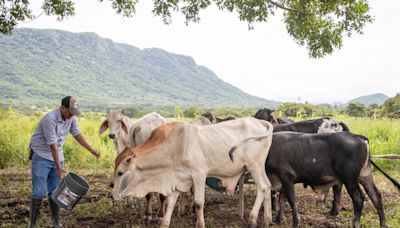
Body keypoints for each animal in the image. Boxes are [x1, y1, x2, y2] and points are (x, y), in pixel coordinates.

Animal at [112, 117, 276, 228]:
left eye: (120, 172)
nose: (112, 191)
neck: (175, 147)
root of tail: (260, 121)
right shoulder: (179, 179)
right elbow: (171, 202)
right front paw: (164, 223)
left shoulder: (199, 174)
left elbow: (198, 202)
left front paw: (200, 224)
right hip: (259, 167)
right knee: (268, 186)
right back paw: (268, 219)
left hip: (253, 166)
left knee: (262, 187)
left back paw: (253, 219)